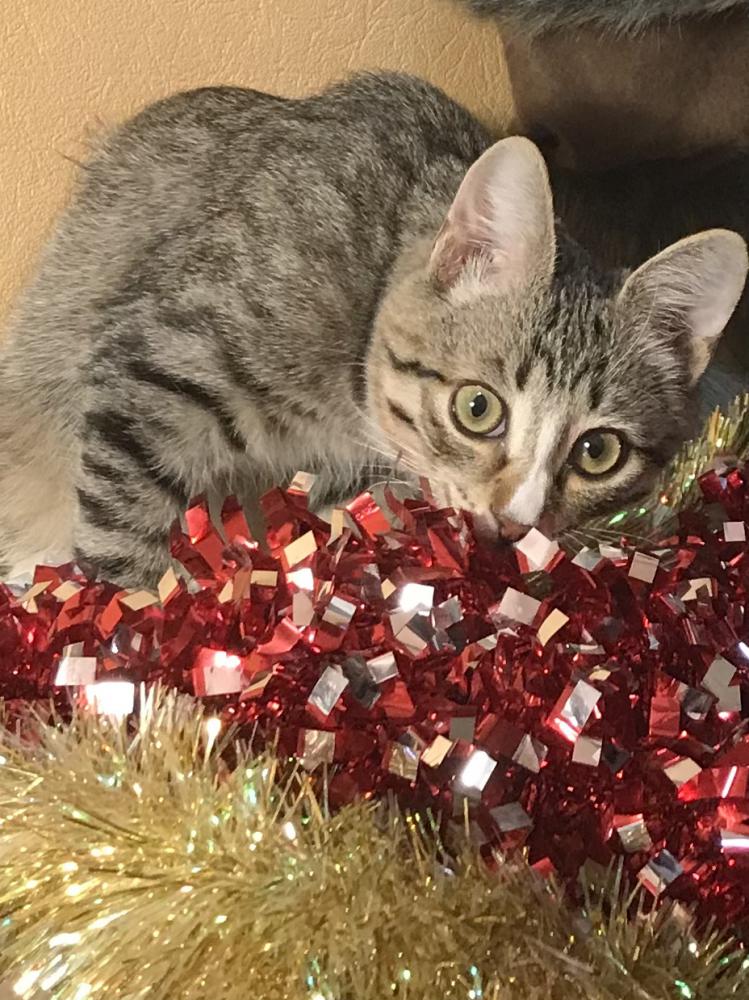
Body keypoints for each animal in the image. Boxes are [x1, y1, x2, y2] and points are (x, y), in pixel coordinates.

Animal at [0, 72, 746, 586]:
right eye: (477, 409)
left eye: (597, 453)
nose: (515, 521)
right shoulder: (160, 356)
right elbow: (122, 527)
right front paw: (130, 629)